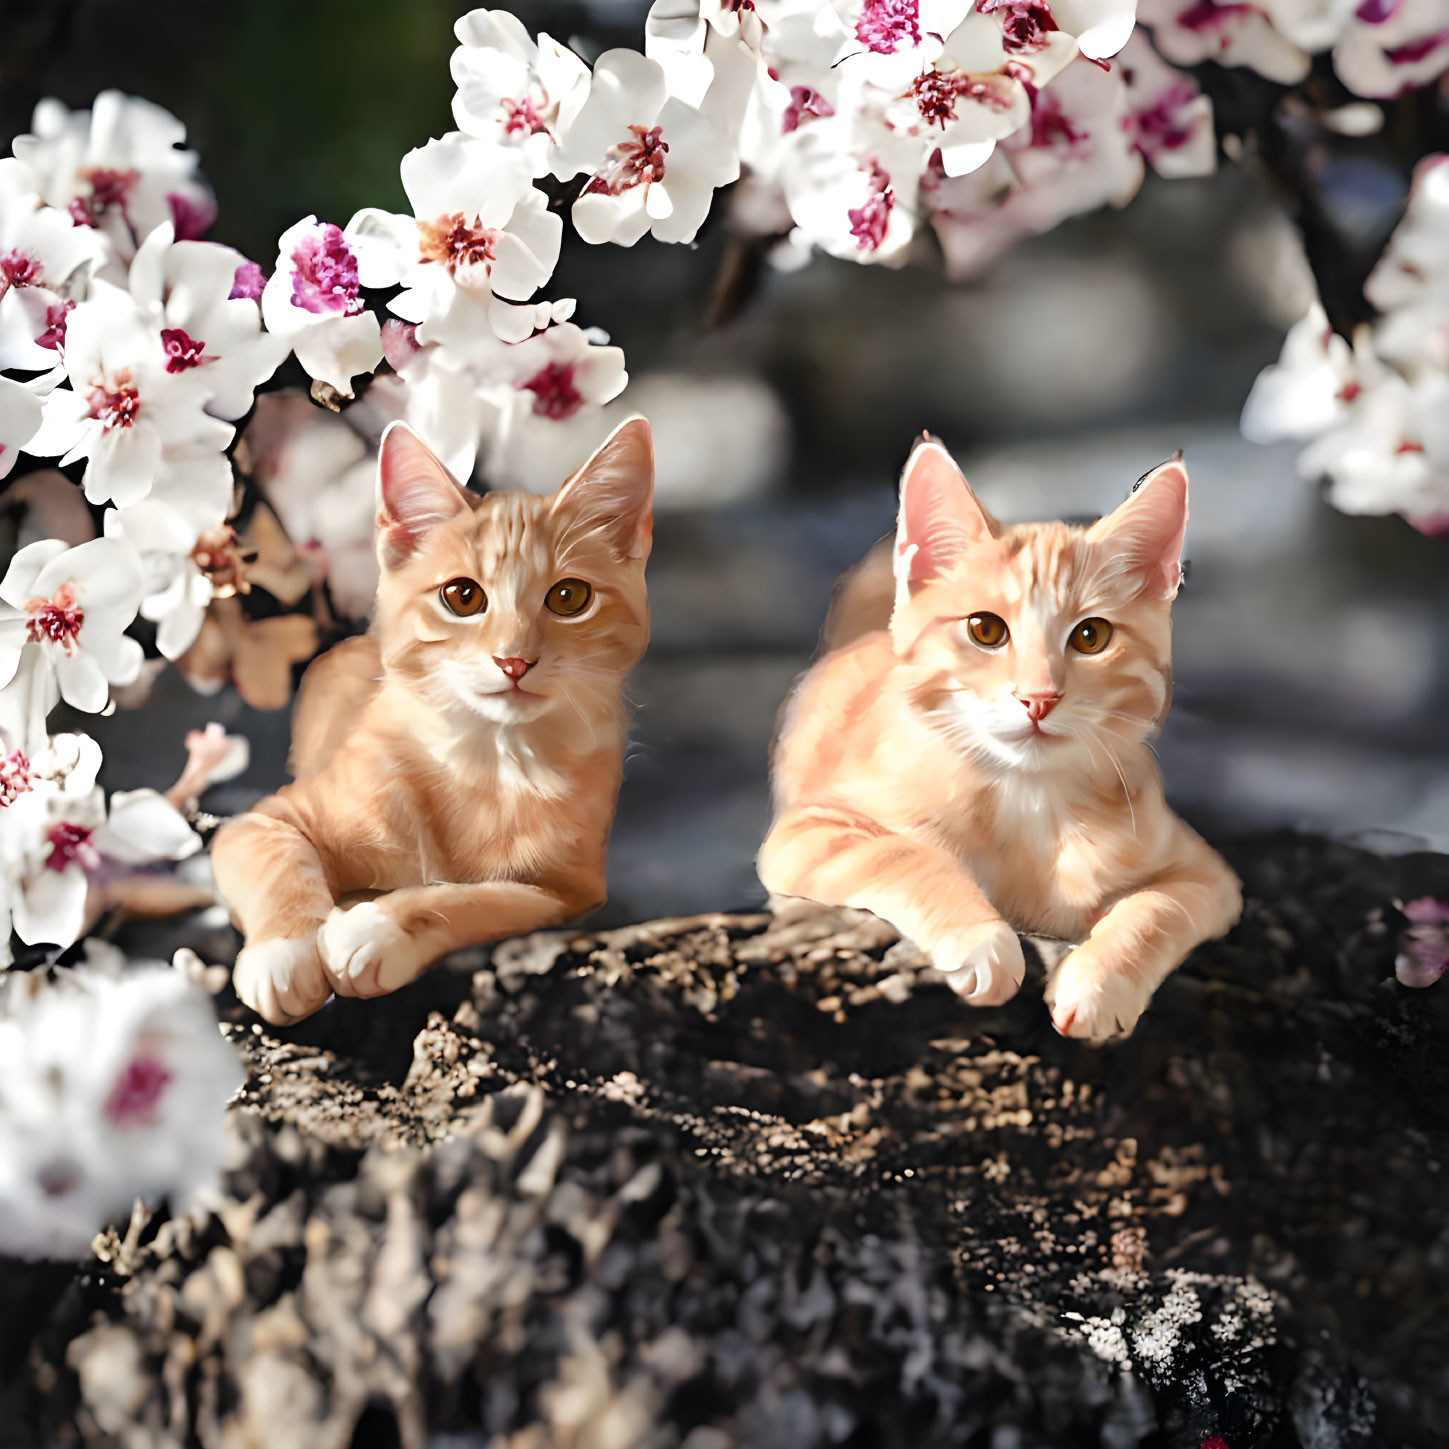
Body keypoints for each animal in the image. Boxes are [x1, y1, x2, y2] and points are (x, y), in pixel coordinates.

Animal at [211, 420, 654, 1031]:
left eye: (570, 597)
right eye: (462, 596)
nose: (514, 660)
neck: (489, 760)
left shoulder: (571, 890)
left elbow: (477, 898)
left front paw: (378, 928)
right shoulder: (260, 819)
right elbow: (276, 855)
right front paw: (282, 953)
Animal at [759, 437, 1246, 1043]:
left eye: (1092, 636)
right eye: (985, 629)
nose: (1038, 698)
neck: (1027, 799)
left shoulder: (1210, 875)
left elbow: (1157, 907)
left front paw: (1099, 982)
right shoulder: (806, 829)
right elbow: (900, 851)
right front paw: (981, 940)